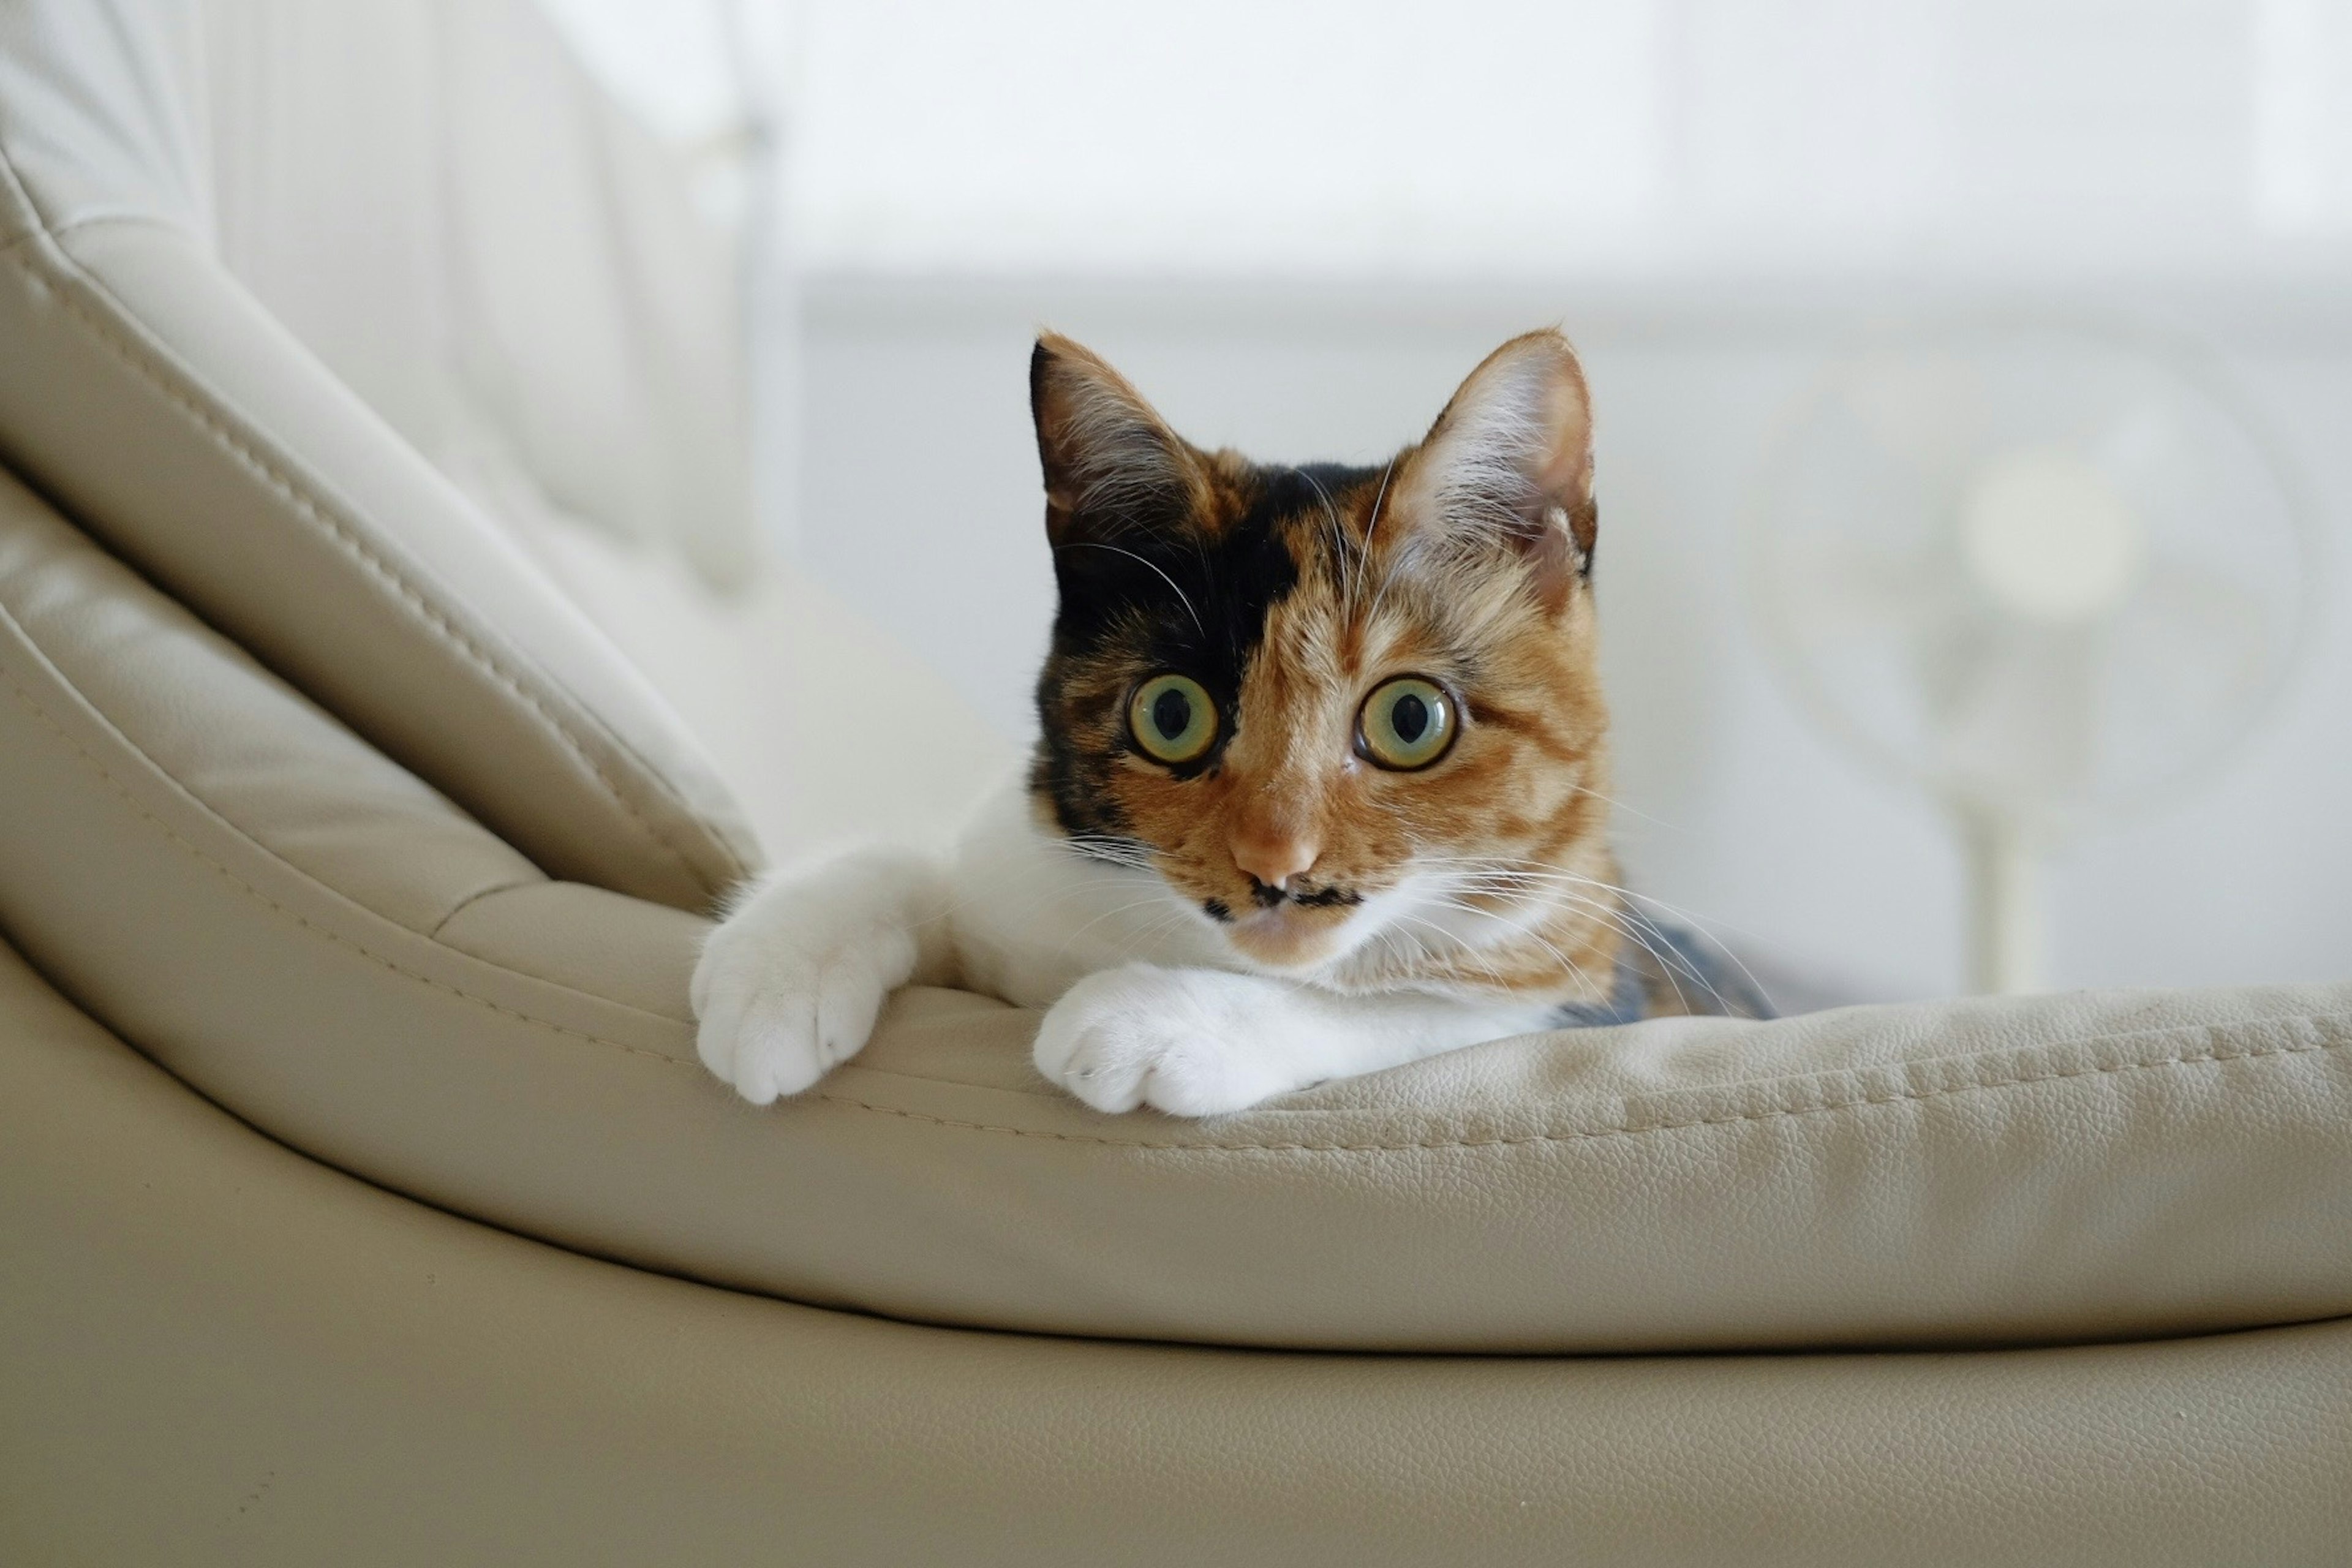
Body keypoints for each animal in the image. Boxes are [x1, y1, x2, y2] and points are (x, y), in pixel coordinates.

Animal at [691, 331, 1768, 1114]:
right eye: (1173, 714)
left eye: (1411, 718)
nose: (1276, 861)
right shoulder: (1019, 870)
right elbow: (925, 864)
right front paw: (774, 973)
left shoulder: (1591, 989)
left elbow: (1415, 1010)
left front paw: (1150, 1021)